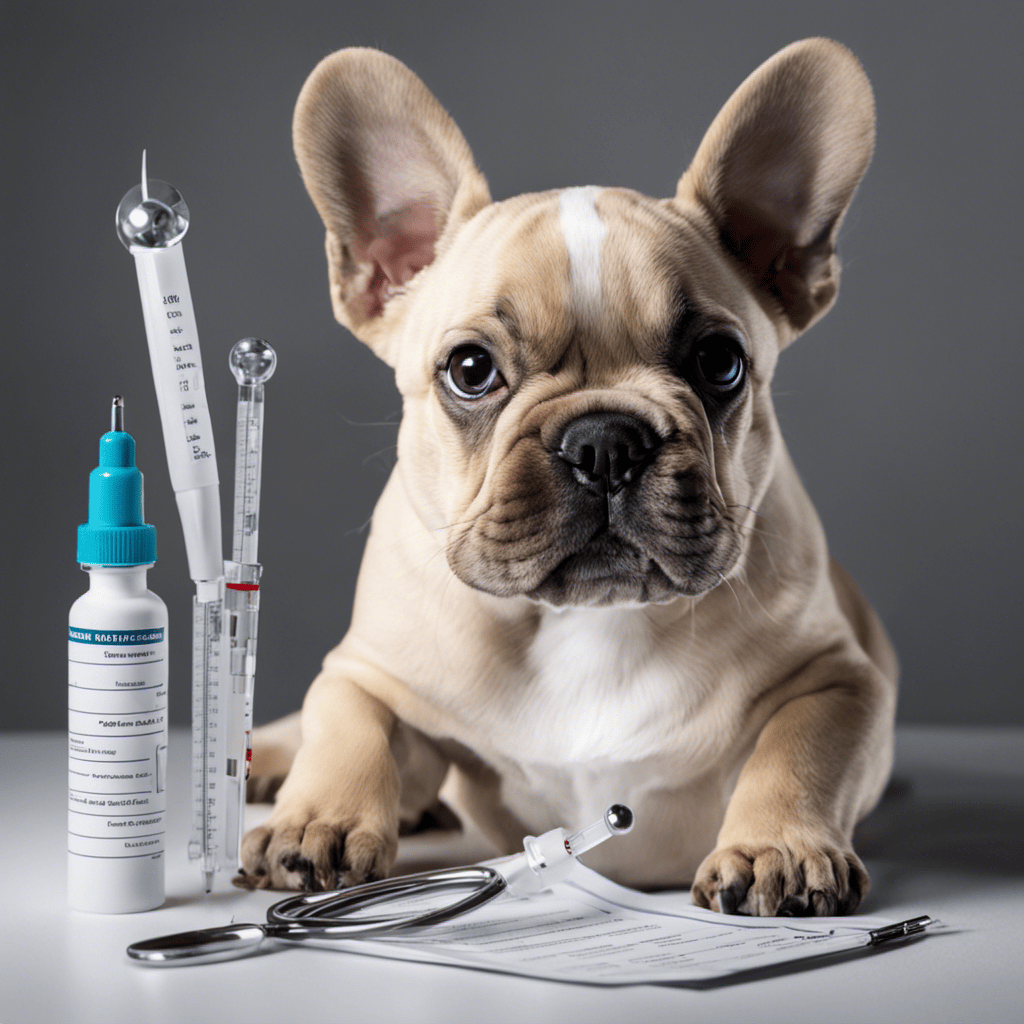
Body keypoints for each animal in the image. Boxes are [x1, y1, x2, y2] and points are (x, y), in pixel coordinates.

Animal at [239, 37, 897, 921]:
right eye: (470, 370)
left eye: (720, 363)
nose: (606, 441)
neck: (588, 621)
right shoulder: (370, 669)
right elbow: (349, 724)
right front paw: (320, 821)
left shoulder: (839, 678)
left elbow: (798, 751)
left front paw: (779, 849)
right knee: (306, 722)